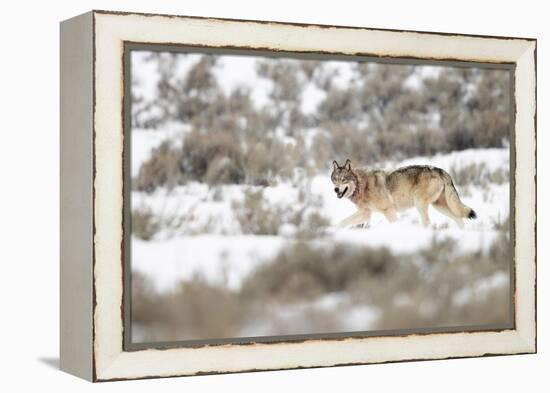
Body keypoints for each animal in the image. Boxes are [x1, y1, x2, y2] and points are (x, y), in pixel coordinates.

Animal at [332, 158, 478, 228]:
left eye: (343, 179)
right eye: (335, 179)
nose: (336, 190)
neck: (362, 185)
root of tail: (440, 170)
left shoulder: (388, 210)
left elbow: (395, 223)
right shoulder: (365, 213)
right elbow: (342, 222)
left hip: (420, 205)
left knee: (428, 223)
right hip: (439, 206)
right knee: (459, 219)